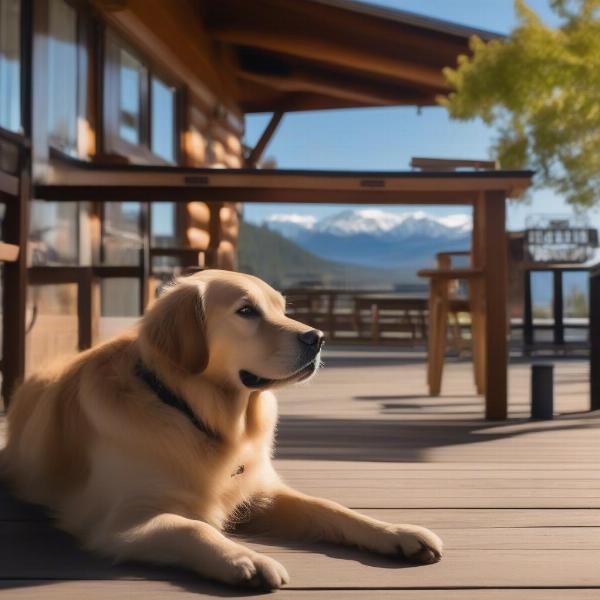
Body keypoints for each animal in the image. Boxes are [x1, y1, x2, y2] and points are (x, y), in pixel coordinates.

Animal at [2, 270, 442, 588]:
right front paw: (245, 558)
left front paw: (396, 531)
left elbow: (331, 509)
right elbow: (195, 528)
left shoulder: (262, 491)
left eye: (282, 308)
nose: (317, 337)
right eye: (246, 311)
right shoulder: (125, 521)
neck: (195, 414)